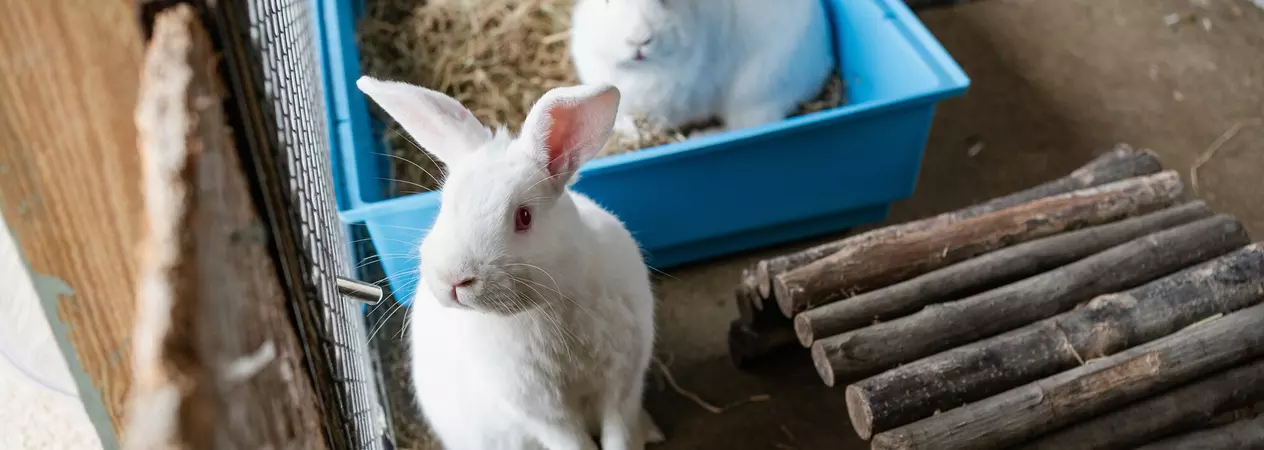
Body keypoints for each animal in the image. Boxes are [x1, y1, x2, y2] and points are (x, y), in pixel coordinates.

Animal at [356, 76, 663, 450]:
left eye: (524, 217)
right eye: (443, 206)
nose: (453, 279)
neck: (546, 307)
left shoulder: (621, 383)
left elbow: (617, 434)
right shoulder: (543, 413)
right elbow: (574, 442)